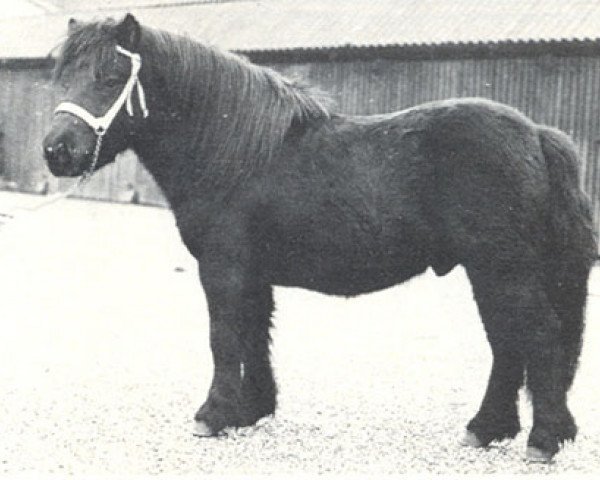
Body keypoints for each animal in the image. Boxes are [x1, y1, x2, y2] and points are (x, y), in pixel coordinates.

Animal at [41, 16, 596, 464]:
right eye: (61, 75)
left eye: (112, 76)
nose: (57, 151)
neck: (235, 152)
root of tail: (539, 135)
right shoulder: (253, 274)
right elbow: (254, 334)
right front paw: (252, 409)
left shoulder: (223, 268)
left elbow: (224, 336)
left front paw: (213, 414)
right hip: (492, 272)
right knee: (508, 343)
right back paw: (487, 429)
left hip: (502, 269)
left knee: (536, 337)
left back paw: (541, 439)